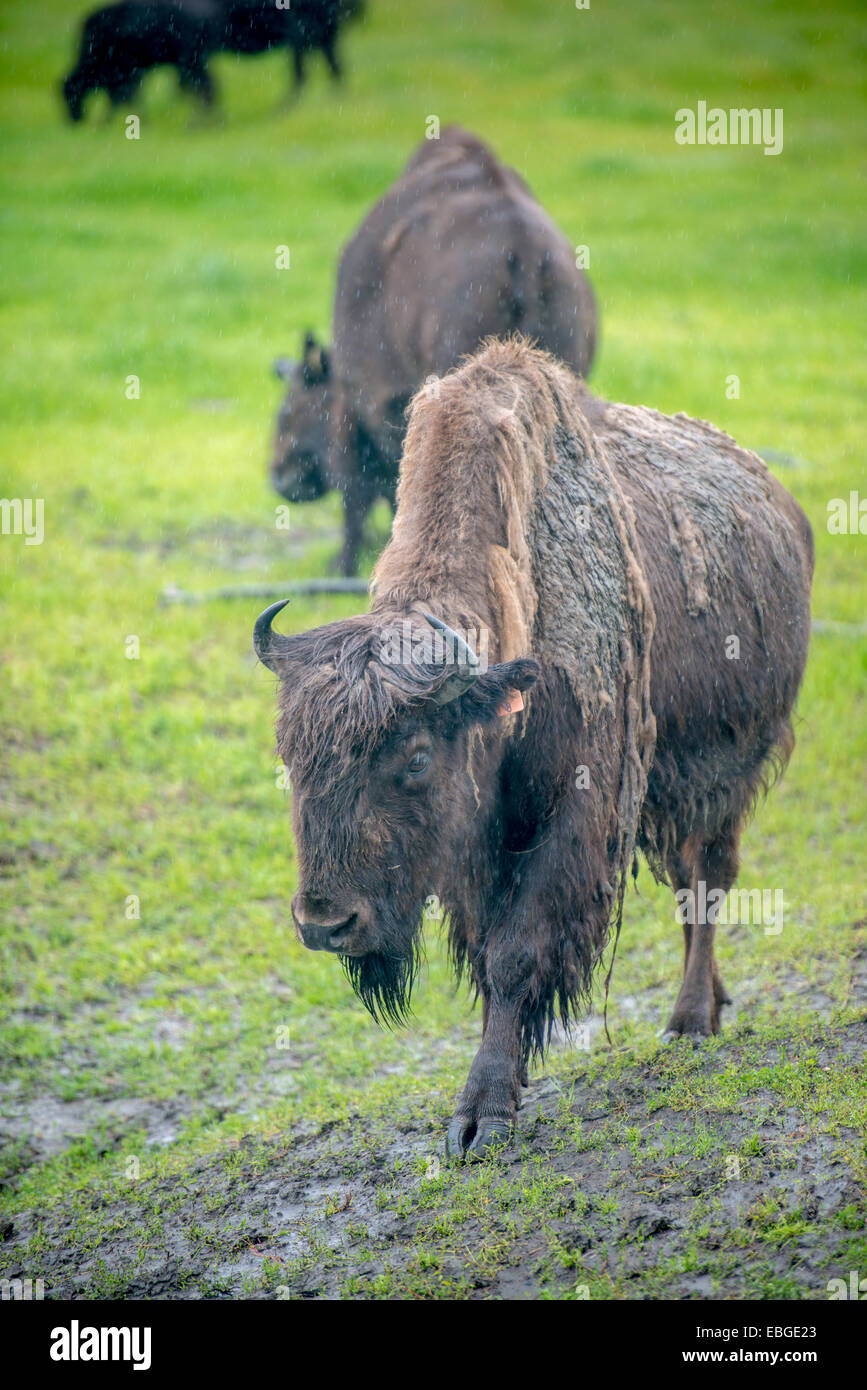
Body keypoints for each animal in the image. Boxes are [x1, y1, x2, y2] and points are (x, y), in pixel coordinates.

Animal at [254, 339, 811, 1162]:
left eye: (415, 757)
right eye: (290, 756)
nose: (326, 924)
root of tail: (780, 503)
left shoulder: (573, 817)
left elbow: (518, 954)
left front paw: (480, 1116)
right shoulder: (478, 851)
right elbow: (491, 961)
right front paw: (485, 1099)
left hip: (727, 773)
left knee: (708, 880)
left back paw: (687, 1024)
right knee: (689, 887)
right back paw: (707, 1005)